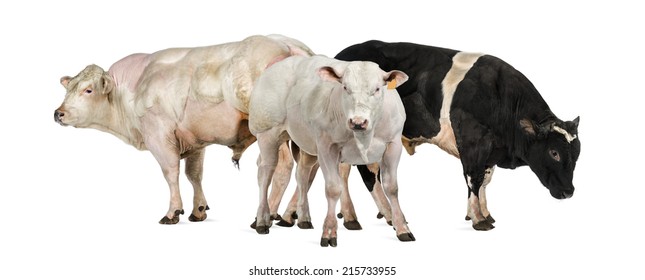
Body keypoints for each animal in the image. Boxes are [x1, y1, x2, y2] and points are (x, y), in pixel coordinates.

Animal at [55, 34, 312, 224]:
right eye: (69, 89)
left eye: (88, 90)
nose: (59, 113)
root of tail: (287, 45)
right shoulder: (194, 139)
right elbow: (194, 174)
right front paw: (198, 209)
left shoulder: (159, 136)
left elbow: (171, 172)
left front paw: (173, 211)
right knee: (306, 169)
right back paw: (290, 214)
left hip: (270, 131)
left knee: (283, 167)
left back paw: (268, 215)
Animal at [247, 55, 412, 247]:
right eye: (345, 87)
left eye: (377, 89)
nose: (358, 122)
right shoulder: (327, 147)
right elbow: (333, 188)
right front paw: (329, 231)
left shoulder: (394, 145)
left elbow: (391, 187)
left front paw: (402, 228)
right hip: (267, 133)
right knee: (265, 173)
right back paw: (262, 220)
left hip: (307, 143)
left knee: (302, 173)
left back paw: (303, 218)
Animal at [332, 40, 580, 231]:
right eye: (554, 152)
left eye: (577, 155)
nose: (569, 192)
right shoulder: (472, 142)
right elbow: (473, 178)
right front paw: (479, 219)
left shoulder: (490, 151)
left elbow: (485, 180)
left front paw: (484, 213)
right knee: (367, 173)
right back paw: (385, 216)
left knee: (343, 170)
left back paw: (349, 214)